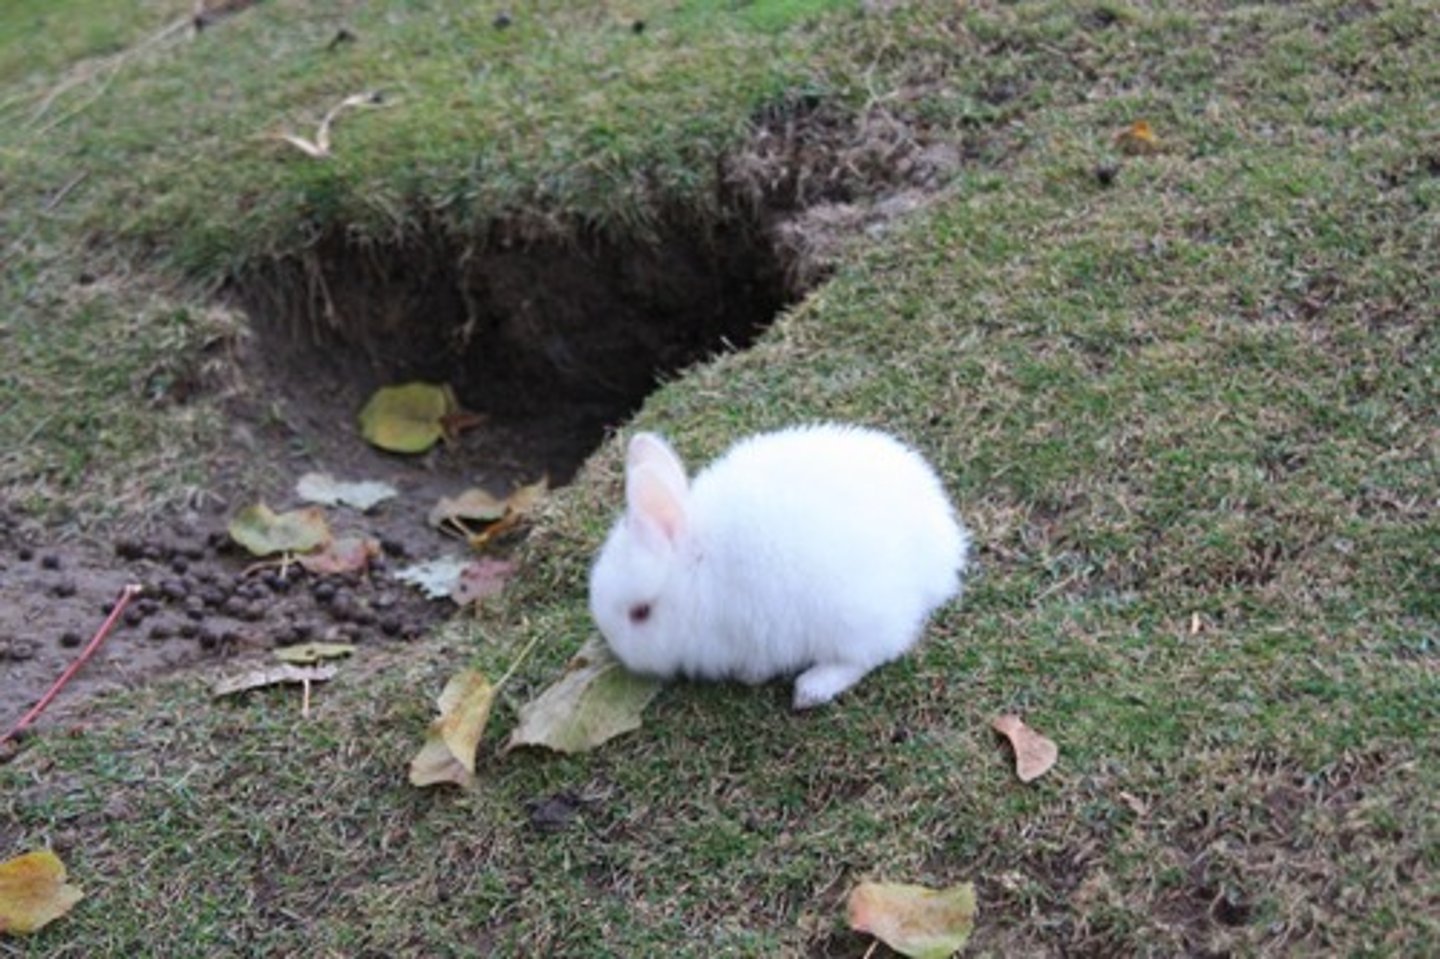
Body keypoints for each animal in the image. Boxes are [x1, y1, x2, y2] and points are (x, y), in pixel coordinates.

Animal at [588, 423, 970, 709]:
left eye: (640, 613)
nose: (617, 651)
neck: (698, 570)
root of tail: (943, 552)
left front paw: (749, 677)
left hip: (852, 617)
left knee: (870, 654)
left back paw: (811, 689)